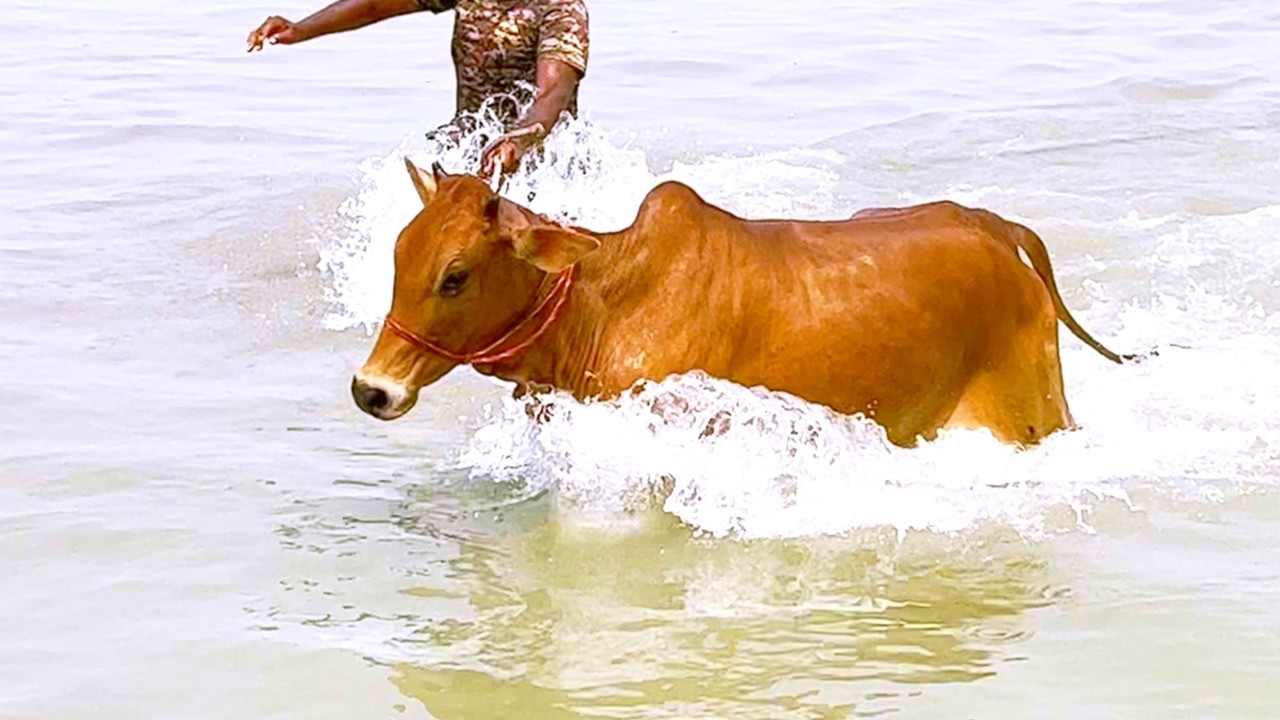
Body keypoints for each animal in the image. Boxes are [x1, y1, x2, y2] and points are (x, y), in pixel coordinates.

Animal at [351, 159, 1131, 447]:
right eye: (398, 255)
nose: (370, 389)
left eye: (454, 276)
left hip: (1035, 415)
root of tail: (995, 229)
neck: (603, 306)